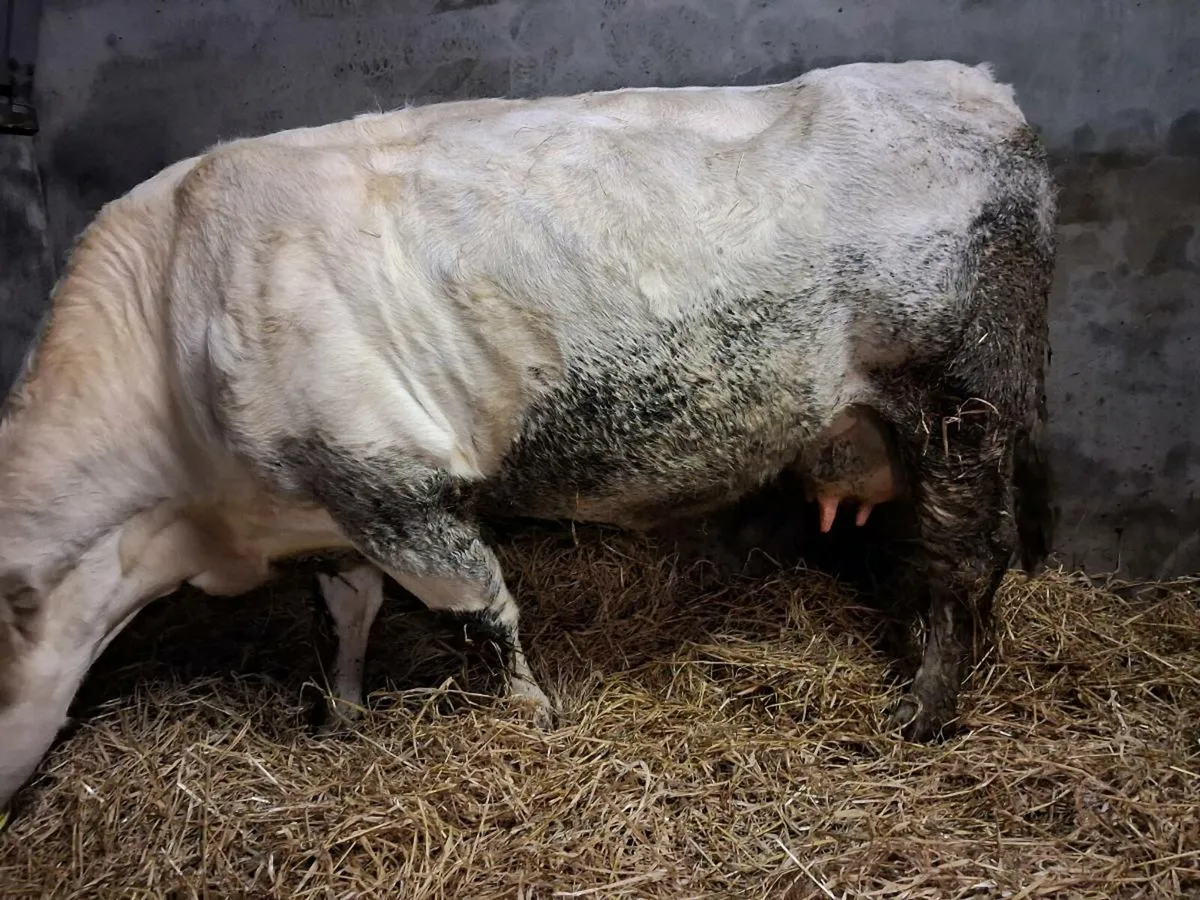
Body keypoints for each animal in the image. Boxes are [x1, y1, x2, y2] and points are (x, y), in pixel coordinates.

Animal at [0, 58, 1056, 822]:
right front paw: (341, 719)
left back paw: (924, 710)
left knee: (964, 560)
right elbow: (345, 617)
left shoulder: (393, 480)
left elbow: (484, 613)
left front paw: (532, 719)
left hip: (963, 406)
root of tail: (983, 90)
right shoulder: (326, 510)